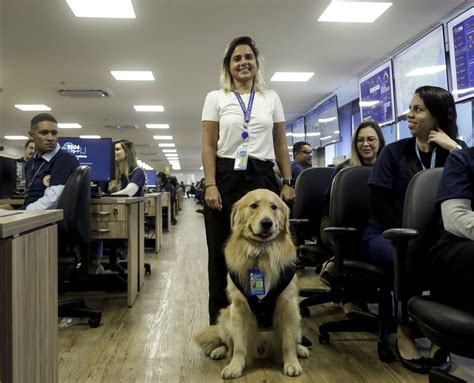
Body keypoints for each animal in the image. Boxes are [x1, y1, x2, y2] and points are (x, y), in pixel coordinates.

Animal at [194, 188, 310, 380]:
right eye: (254, 205)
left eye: (274, 207)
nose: (266, 223)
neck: (261, 252)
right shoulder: (239, 307)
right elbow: (239, 346)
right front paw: (235, 366)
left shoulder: (288, 305)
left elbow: (288, 341)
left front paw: (292, 363)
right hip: (226, 315)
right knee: (228, 344)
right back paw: (219, 351)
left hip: (297, 316)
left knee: (294, 338)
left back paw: (300, 349)